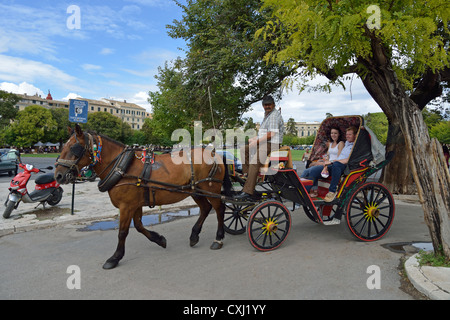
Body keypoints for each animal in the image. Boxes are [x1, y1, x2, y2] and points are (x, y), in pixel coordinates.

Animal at [55, 124, 232, 268]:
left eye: (74, 148)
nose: (58, 176)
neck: (122, 166)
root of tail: (215, 153)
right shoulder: (135, 204)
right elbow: (139, 226)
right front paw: (159, 239)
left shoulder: (126, 206)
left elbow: (123, 232)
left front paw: (115, 258)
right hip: (196, 190)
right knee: (205, 208)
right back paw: (194, 235)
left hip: (210, 189)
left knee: (219, 209)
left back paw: (218, 238)